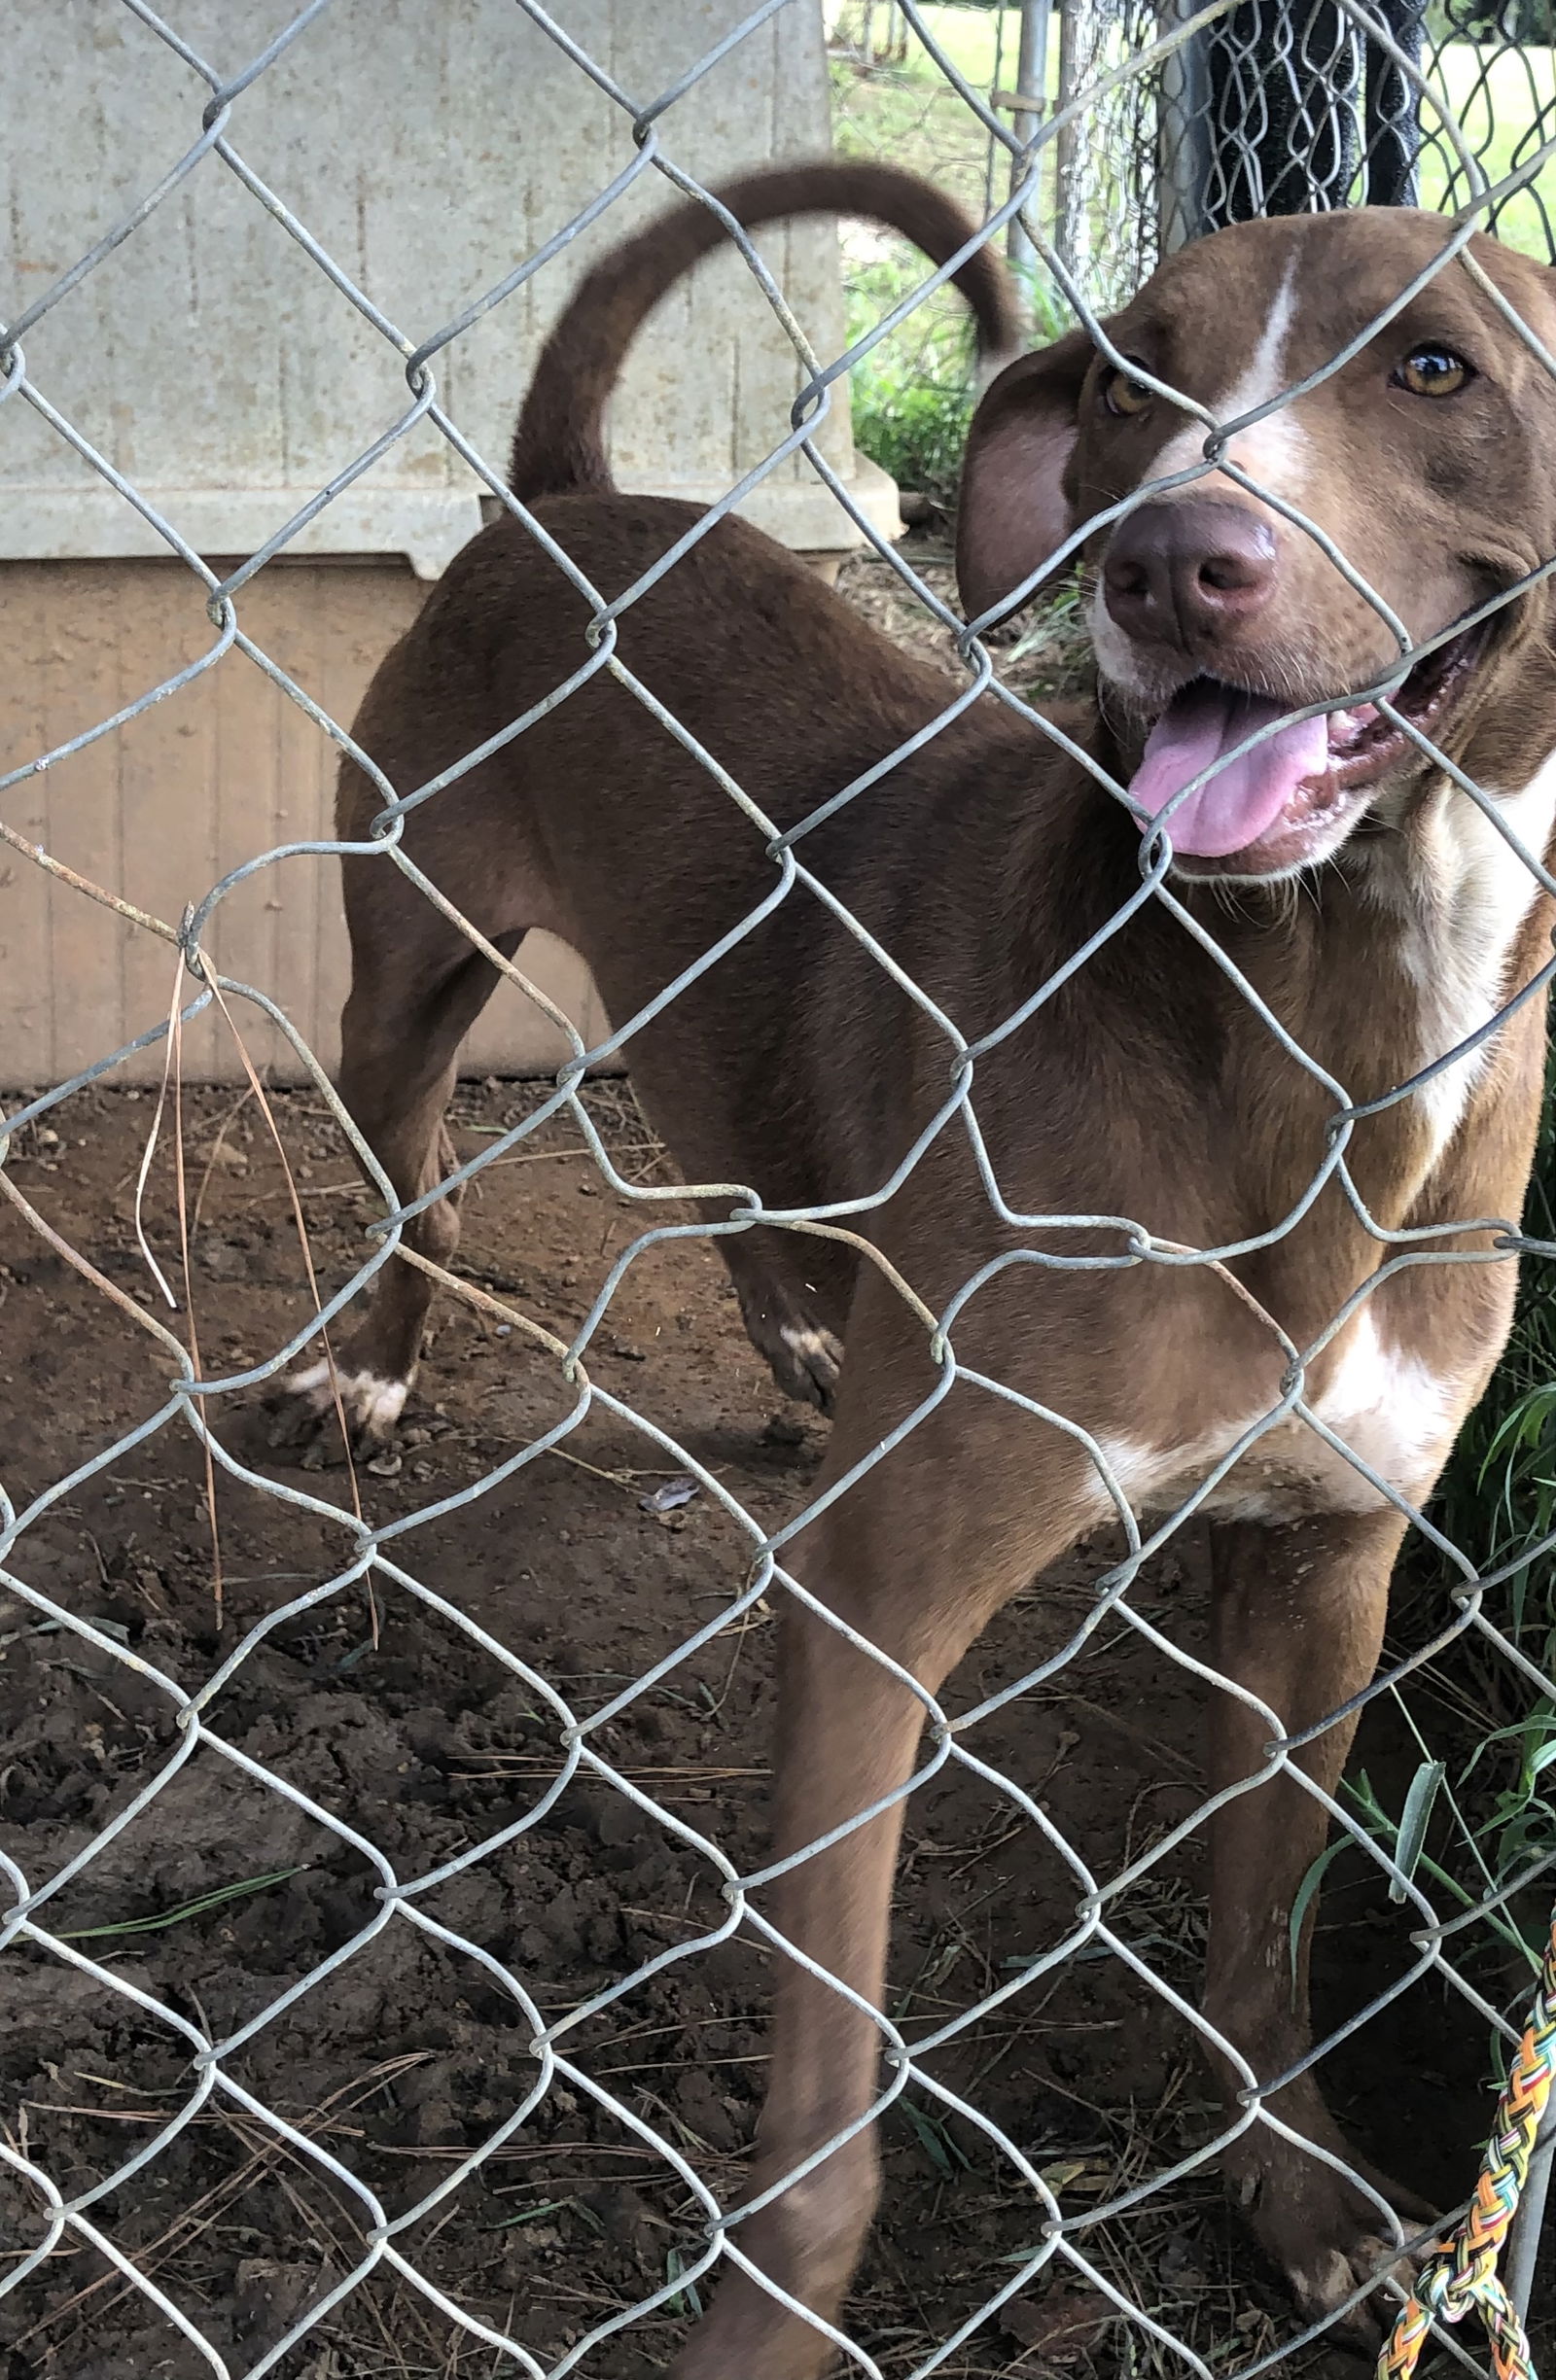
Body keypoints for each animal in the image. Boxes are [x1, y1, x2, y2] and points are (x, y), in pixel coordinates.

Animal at [274, 162, 1556, 2361]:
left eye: (1435, 367)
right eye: (1131, 383)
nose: (1165, 562)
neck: (1322, 1028)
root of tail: (570, 500)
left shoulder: (1327, 1569)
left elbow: (1264, 1935)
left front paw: (1294, 2191)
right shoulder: (882, 1599)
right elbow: (823, 2130)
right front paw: (762, 2341)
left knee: (725, 1144)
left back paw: (802, 1323)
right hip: (407, 957)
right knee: (418, 1176)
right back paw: (378, 1358)